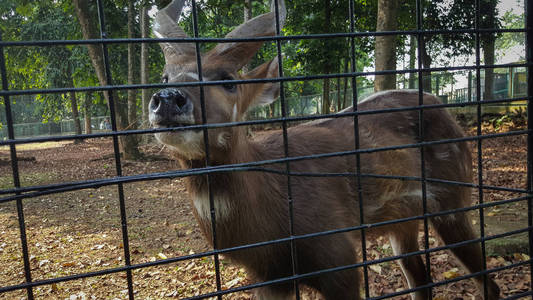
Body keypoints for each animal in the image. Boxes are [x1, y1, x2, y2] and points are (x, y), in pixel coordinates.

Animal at [149, 1, 498, 298]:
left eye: (228, 80)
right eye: (165, 76)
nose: (167, 99)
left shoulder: (339, 259)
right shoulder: (270, 278)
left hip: (452, 200)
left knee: (487, 282)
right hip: (404, 221)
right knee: (422, 281)